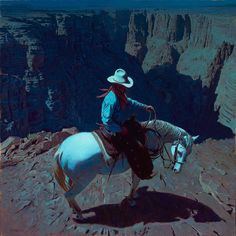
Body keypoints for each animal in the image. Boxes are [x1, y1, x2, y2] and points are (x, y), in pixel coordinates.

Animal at [54, 120, 199, 221]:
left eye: (189, 153)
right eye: (180, 151)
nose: (177, 170)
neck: (149, 136)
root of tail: (61, 151)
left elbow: (135, 182)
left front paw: (133, 196)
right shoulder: (139, 166)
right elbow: (135, 182)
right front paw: (131, 200)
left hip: (72, 179)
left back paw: (74, 210)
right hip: (83, 181)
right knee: (69, 195)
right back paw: (80, 215)